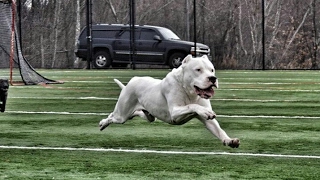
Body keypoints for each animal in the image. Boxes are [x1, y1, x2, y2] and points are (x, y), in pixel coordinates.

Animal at [99, 54, 239, 148]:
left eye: (212, 70)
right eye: (198, 69)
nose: (213, 78)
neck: (188, 90)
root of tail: (131, 82)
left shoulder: (209, 122)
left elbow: (219, 130)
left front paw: (229, 140)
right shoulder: (175, 112)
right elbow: (192, 106)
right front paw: (205, 111)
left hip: (148, 116)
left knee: (137, 113)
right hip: (122, 115)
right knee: (113, 116)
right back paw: (103, 123)